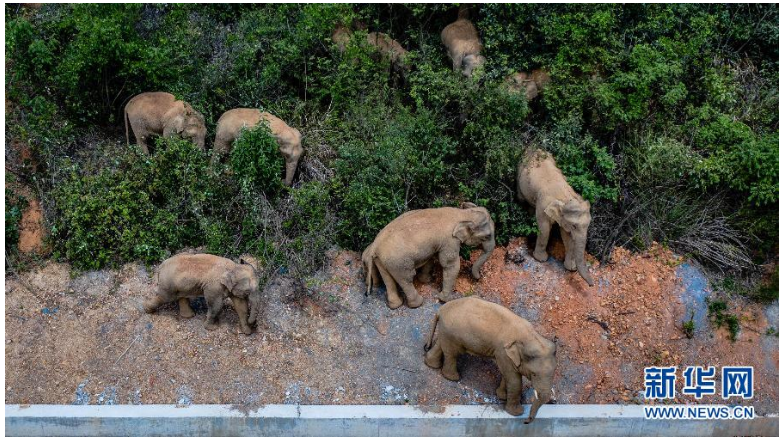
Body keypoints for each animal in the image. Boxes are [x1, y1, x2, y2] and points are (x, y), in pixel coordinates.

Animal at [362, 202, 496, 308]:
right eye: (487, 236)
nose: (478, 278)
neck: (463, 214)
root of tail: (375, 245)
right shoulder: (450, 240)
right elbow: (450, 265)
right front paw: (445, 300)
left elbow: (431, 258)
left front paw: (427, 280)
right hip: (397, 262)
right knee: (407, 278)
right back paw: (418, 303)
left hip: (382, 260)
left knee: (388, 279)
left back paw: (395, 305)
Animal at [426, 296, 560, 422]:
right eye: (534, 374)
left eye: (554, 372)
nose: (526, 421)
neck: (530, 336)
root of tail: (441, 310)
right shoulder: (503, 352)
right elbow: (514, 380)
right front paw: (516, 413)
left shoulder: (506, 355)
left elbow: (507, 375)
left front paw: (502, 396)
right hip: (453, 332)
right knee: (452, 353)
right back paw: (453, 378)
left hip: (447, 331)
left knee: (441, 344)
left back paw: (431, 364)